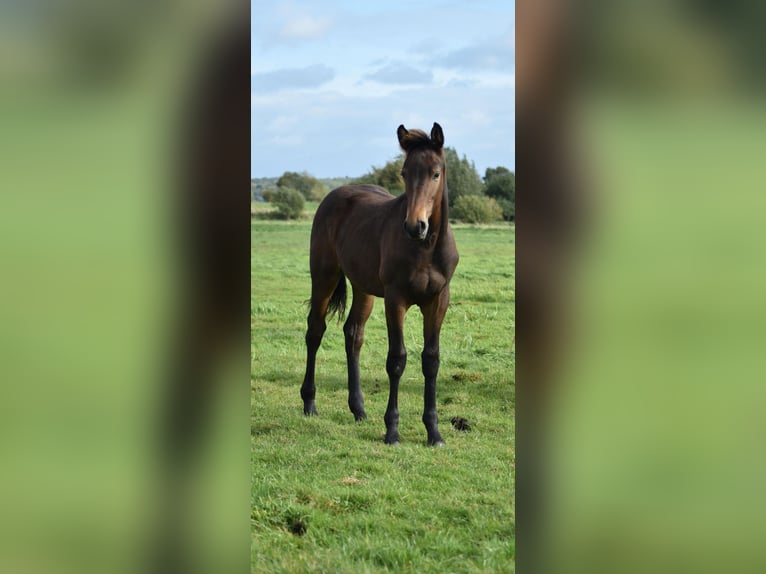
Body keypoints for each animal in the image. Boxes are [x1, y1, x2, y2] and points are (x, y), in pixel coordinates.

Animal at [300, 122, 459, 446]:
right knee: (315, 331)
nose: (415, 226)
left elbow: (431, 360)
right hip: (324, 275)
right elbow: (396, 360)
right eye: (404, 172)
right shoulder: (396, 299)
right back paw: (309, 403)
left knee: (353, 334)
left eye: (436, 173)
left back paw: (358, 409)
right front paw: (392, 430)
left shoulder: (438, 300)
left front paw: (434, 432)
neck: (425, 249)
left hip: (363, 288)